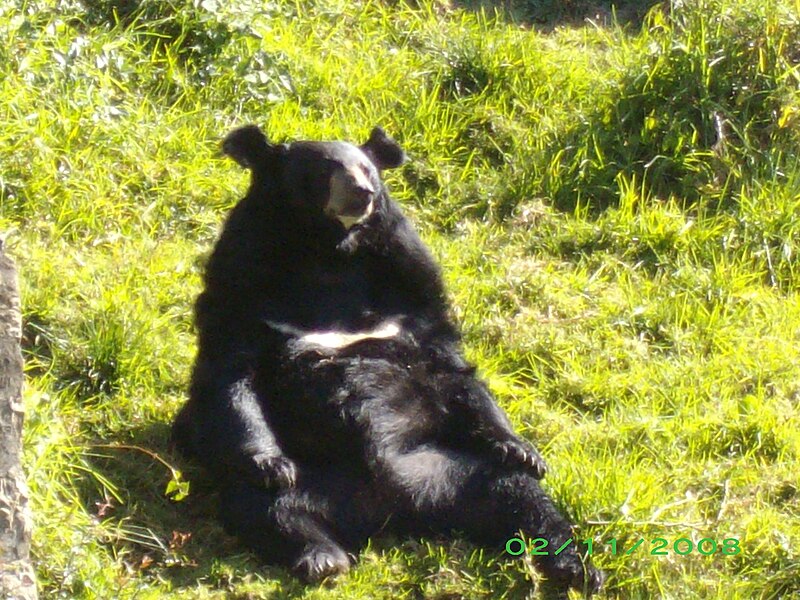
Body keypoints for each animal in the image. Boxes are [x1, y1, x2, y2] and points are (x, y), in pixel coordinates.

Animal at [172, 124, 604, 592]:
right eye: (325, 169)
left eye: (368, 169)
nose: (362, 194)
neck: (328, 251)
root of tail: (393, 510)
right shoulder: (240, 277)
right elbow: (232, 374)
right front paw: (272, 465)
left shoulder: (412, 278)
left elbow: (451, 368)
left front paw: (523, 450)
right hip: (316, 479)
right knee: (266, 507)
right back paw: (323, 558)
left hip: (453, 471)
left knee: (522, 498)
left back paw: (577, 569)